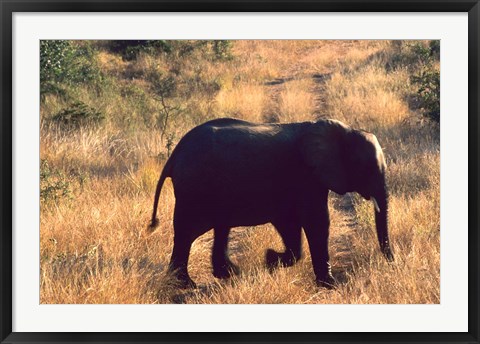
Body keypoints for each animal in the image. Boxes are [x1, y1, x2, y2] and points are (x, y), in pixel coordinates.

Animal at [149, 117, 394, 288]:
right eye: (366, 168)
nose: (392, 263)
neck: (345, 130)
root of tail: (175, 155)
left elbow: (290, 223)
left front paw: (270, 260)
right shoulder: (307, 176)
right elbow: (316, 221)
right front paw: (329, 285)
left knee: (218, 227)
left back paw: (227, 274)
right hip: (194, 189)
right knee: (186, 232)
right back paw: (185, 285)